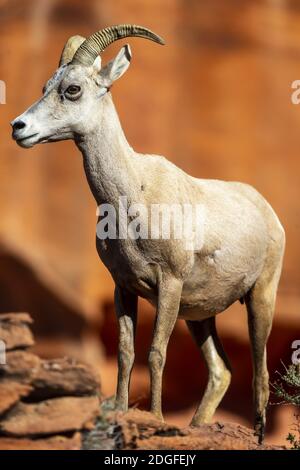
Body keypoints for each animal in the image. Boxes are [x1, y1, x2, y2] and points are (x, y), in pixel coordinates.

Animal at [11, 23, 284, 442]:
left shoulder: (168, 284)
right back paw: (197, 426)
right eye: (46, 86)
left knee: (260, 375)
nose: (18, 128)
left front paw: (155, 417)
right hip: (200, 316)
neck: (130, 199)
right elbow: (127, 354)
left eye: (72, 89)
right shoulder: (123, 288)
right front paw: (122, 411)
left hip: (260, 298)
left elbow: (156, 353)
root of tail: (268, 211)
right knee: (221, 371)